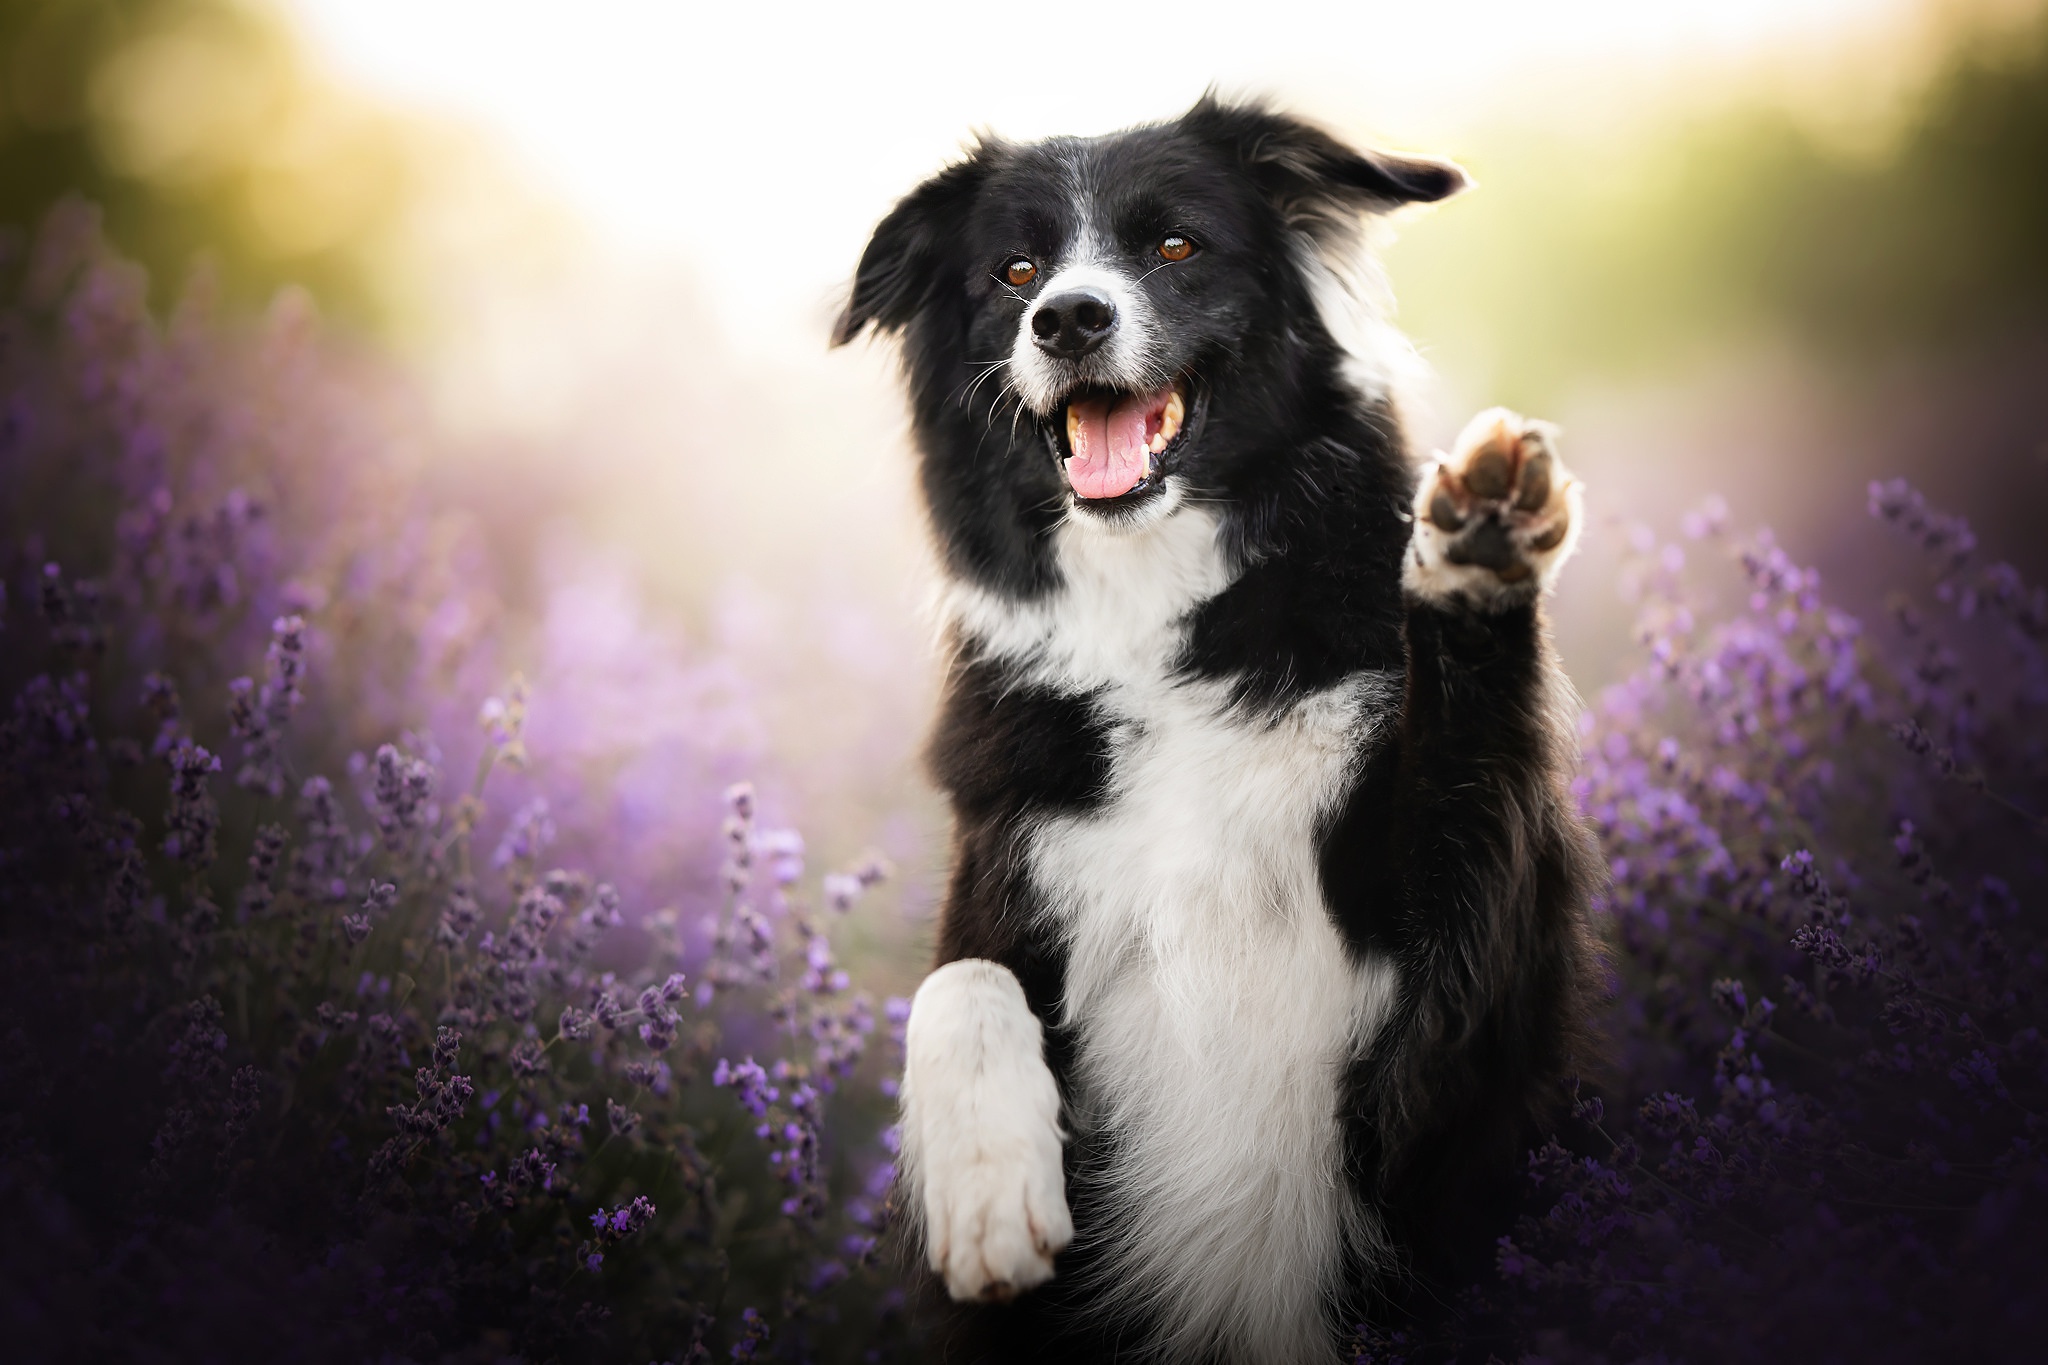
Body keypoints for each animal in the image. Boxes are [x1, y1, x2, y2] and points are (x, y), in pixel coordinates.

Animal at [831, 98, 1597, 1365]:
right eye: (1014, 271)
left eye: (1175, 246)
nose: (1067, 318)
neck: (1157, 619)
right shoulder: (1008, 857)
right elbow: (955, 985)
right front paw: (988, 1192)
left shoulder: (1449, 1038)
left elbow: (1464, 766)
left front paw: (1472, 547)